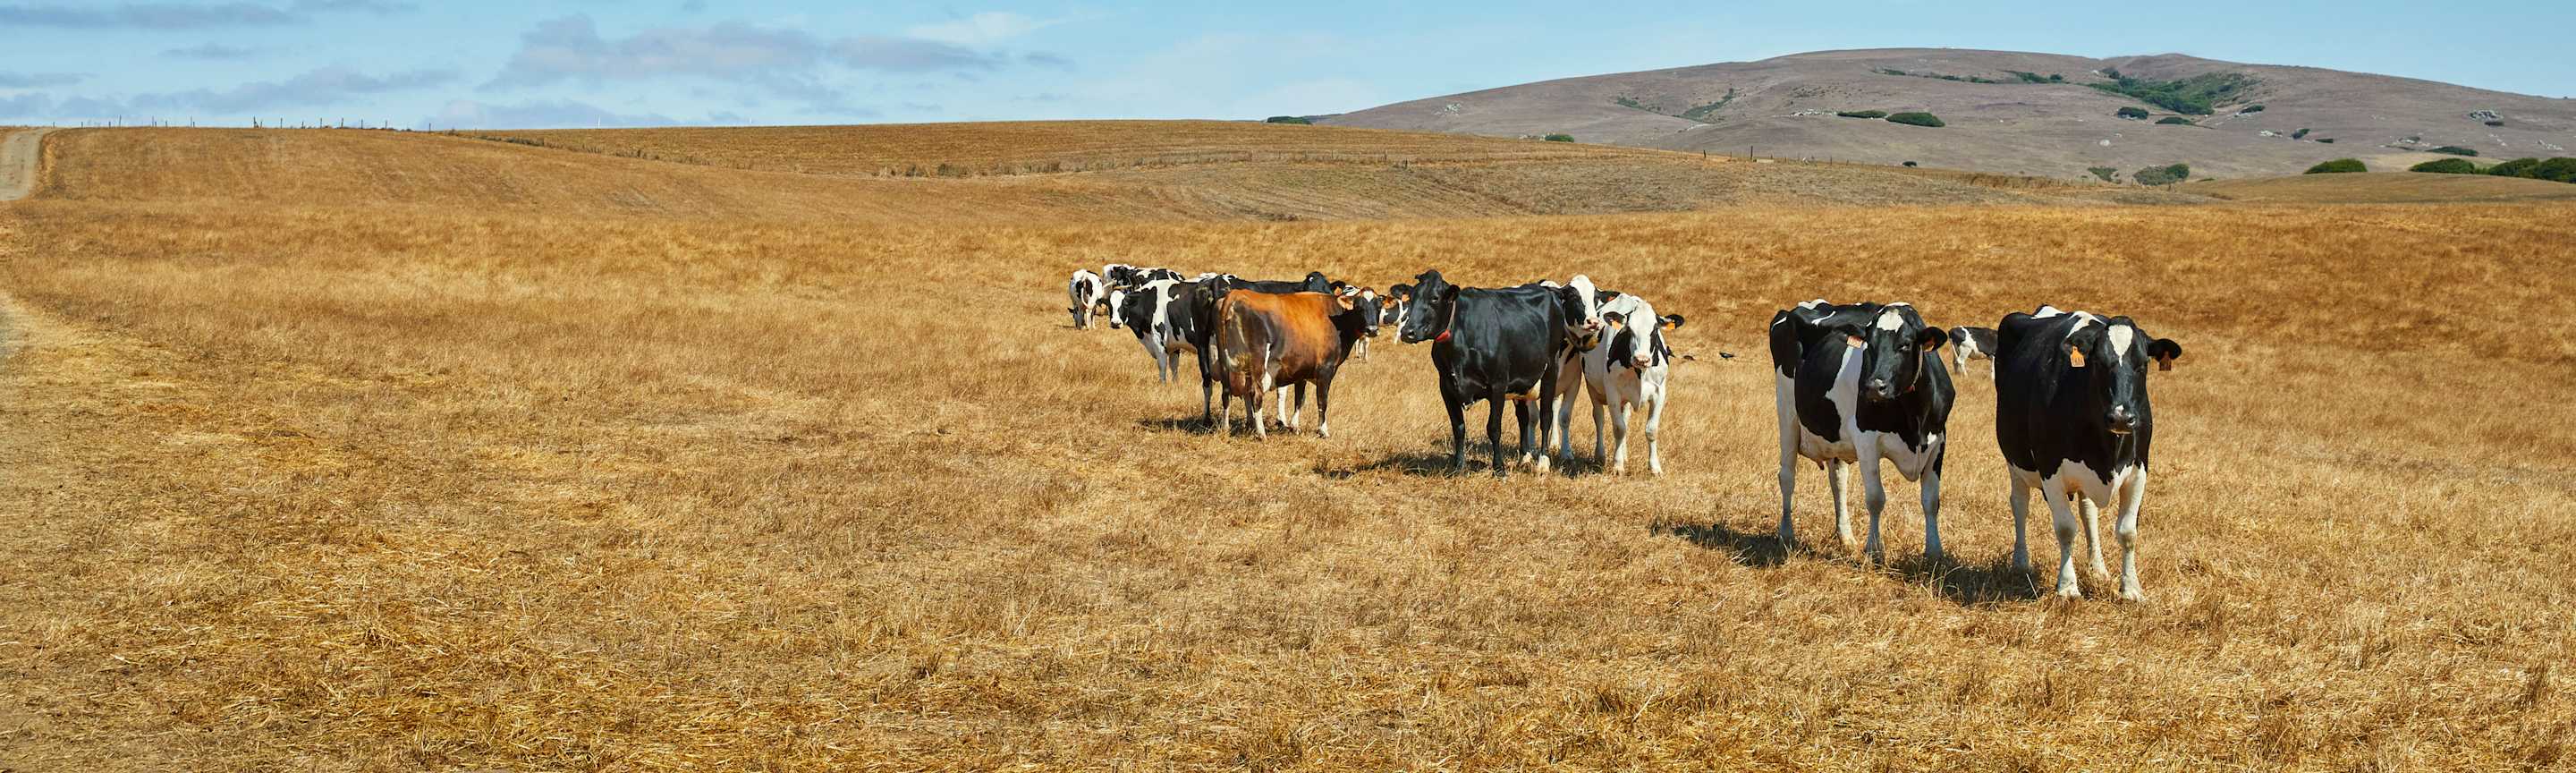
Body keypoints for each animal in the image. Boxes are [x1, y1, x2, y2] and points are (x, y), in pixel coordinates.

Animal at [1213, 289, 1381, 438]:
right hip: (1257, 363)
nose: (1372, 330)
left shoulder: (1302, 371)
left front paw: (1294, 426)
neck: (1337, 319)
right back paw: (1261, 433)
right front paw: (1323, 431)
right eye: (1359, 307)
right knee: (1255, 393)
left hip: (1226, 363)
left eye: (1379, 307)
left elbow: (1300, 399)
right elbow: (1322, 400)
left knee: (1227, 392)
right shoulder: (1326, 370)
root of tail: (1236, 293)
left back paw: (1227, 428)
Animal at [1395, 270, 1596, 477]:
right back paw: (1524, 458)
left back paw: (1543, 462)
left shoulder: (1498, 384)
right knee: (1524, 418)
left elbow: (1494, 428)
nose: (1407, 332)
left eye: (1434, 298)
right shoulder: (1446, 386)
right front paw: (1459, 466)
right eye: (1411, 298)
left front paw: (1499, 468)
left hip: (1550, 372)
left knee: (1546, 417)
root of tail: (1549, 291)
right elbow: (1458, 427)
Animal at [1554, 288, 1685, 475]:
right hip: (1593, 388)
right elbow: (1619, 428)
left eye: (1654, 331)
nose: (1642, 359)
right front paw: (1617, 465)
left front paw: (1655, 467)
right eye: (1629, 330)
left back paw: (1624, 454)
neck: (1640, 372)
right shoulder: (1613, 392)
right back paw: (1600, 455)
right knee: (1599, 419)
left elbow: (1651, 430)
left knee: (1625, 418)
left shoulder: (1660, 392)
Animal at [1770, 300, 1955, 563]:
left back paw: (1846, 538)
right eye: (1869, 345)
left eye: (1905, 344)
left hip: (1833, 436)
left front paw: (1934, 552)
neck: (1914, 416)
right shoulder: (1866, 440)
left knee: (1838, 481)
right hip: (1787, 414)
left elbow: (1931, 500)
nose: (1873, 387)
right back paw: (1786, 534)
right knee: (1787, 476)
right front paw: (1875, 550)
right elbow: (1876, 498)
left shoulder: (1938, 440)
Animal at [1993, 306, 2183, 601]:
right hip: (2015, 460)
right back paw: (2021, 563)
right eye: (2099, 364)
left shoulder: (2139, 469)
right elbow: (2065, 528)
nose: (2121, 417)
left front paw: (2130, 588)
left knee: (2088, 511)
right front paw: (2068, 587)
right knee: (2020, 504)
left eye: (2142, 365)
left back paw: (2098, 568)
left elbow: (2128, 532)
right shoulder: (2050, 469)